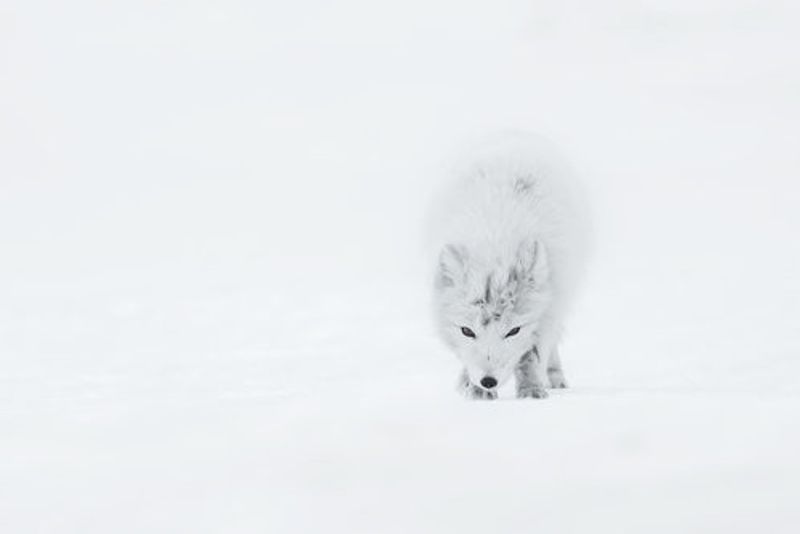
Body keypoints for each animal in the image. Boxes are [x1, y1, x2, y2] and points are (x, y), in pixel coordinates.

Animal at [429, 134, 586, 400]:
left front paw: (531, 389)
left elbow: (529, 355)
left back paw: (554, 378)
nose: (488, 381)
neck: (495, 243)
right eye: (467, 331)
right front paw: (472, 387)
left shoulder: (545, 316)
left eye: (513, 331)